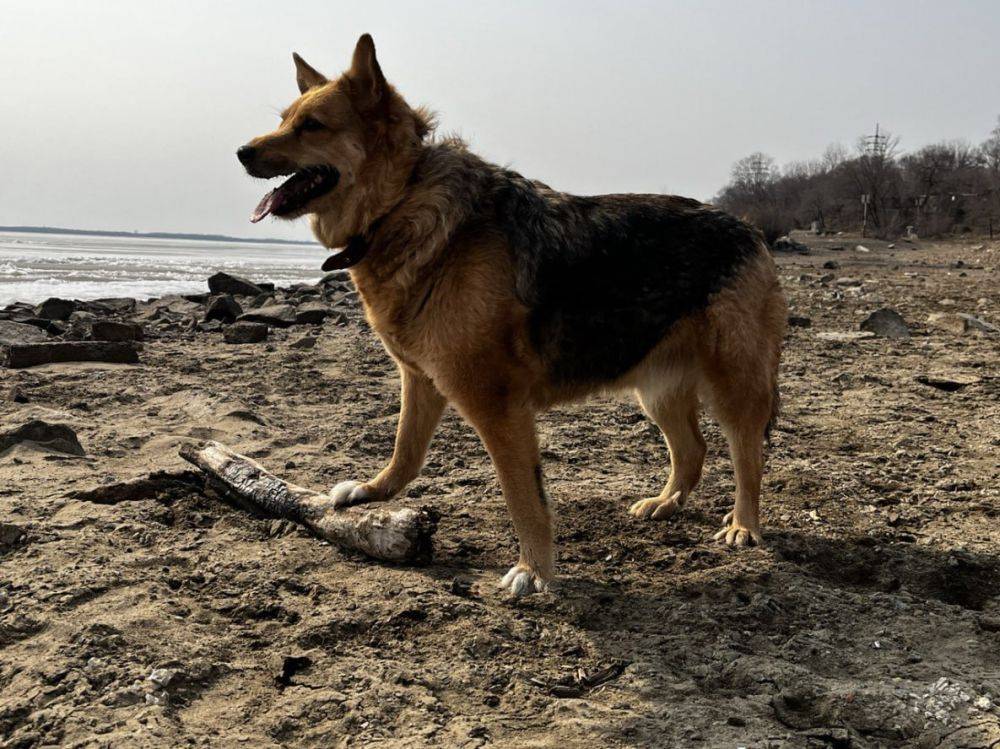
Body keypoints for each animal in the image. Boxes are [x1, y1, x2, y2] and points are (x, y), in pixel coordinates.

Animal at [238, 33, 784, 596]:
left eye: (311, 126)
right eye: (284, 120)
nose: (241, 152)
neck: (401, 201)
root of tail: (749, 229)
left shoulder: (497, 407)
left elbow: (524, 497)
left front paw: (534, 569)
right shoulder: (420, 380)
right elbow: (405, 452)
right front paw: (373, 491)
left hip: (734, 384)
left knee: (749, 454)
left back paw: (744, 524)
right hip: (656, 387)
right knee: (692, 450)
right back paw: (667, 501)